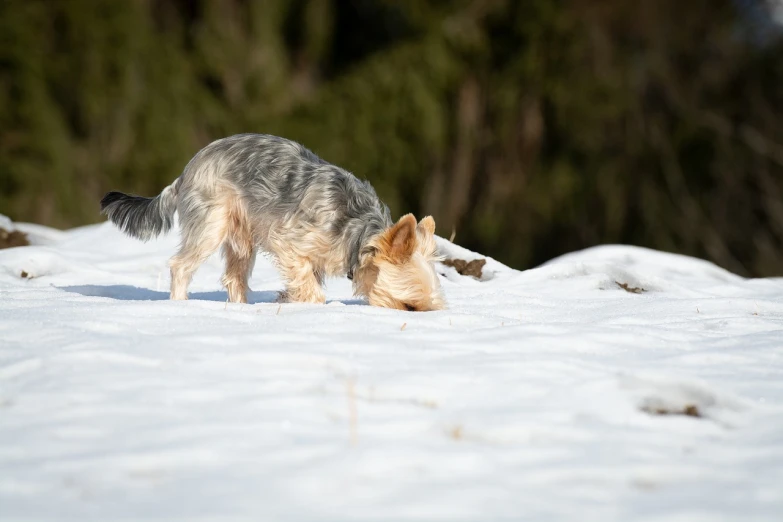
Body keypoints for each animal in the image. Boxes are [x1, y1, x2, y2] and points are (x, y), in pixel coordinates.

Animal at [102, 132, 448, 308]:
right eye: (409, 306)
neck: (359, 233)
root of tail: (187, 170)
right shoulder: (290, 241)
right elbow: (312, 289)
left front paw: (288, 299)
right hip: (212, 222)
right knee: (181, 266)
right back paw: (179, 307)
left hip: (241, 236)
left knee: (234, 277)